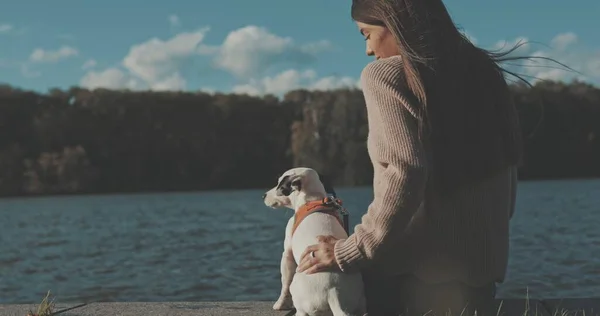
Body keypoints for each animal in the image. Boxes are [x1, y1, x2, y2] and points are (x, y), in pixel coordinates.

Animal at [262, 167, 366, 314]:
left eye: (279, 183)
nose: (263, 196)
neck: (311, 200)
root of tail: (333, 293)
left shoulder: (287, 254)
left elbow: (284, 283)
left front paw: (280, 304)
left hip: (298, 287)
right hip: (358, 299)